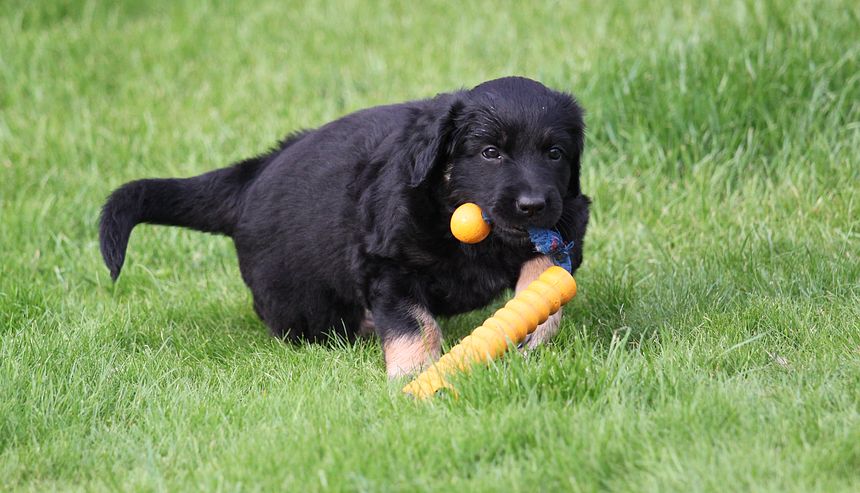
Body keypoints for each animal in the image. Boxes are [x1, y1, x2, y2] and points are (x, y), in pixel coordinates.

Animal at [99, 76, 590, 378]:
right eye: (490, 152)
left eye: (555, 154)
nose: (532, 205)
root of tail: (250, 178)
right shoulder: (386, 265)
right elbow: (414, 324)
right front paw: (414, 374)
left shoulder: (570, 214)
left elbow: (544, 269)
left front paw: (536, 325)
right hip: (301, 304)